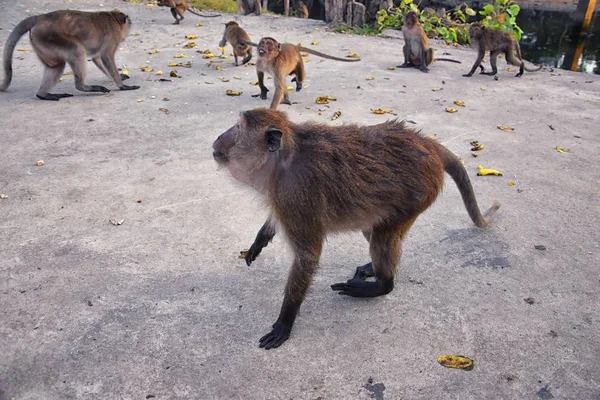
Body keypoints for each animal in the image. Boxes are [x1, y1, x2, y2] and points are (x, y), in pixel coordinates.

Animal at [0, 9, 139, 101]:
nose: (128, 29)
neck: (112, 17)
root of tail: (40, 17)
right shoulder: (113, 35)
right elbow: (106, 56)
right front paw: (122, 86)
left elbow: (96, 58)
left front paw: (120, 77)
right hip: (48, 35)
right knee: (77, 49)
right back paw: (82, 86)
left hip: (41, 41)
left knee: (57, 65)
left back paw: (43, 94)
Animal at [211, 108, 502, 348]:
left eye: (238, 127)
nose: (219, 137)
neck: (284, 160)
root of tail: (425, 142)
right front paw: (259, 240)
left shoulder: (295, 195)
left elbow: (307, 257)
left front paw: (285, 320)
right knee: (374, 229)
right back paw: (374, 267)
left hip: (418, 192)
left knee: (383, 237)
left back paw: (382, 284)